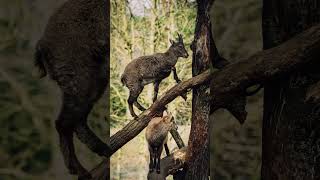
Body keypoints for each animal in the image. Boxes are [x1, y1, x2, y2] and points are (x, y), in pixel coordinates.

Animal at [33, 0, 109, 178]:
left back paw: (104, 150)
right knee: (63, 123)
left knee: (77, 121)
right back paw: (81, 171)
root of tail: (42, 45)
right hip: (82, 79)